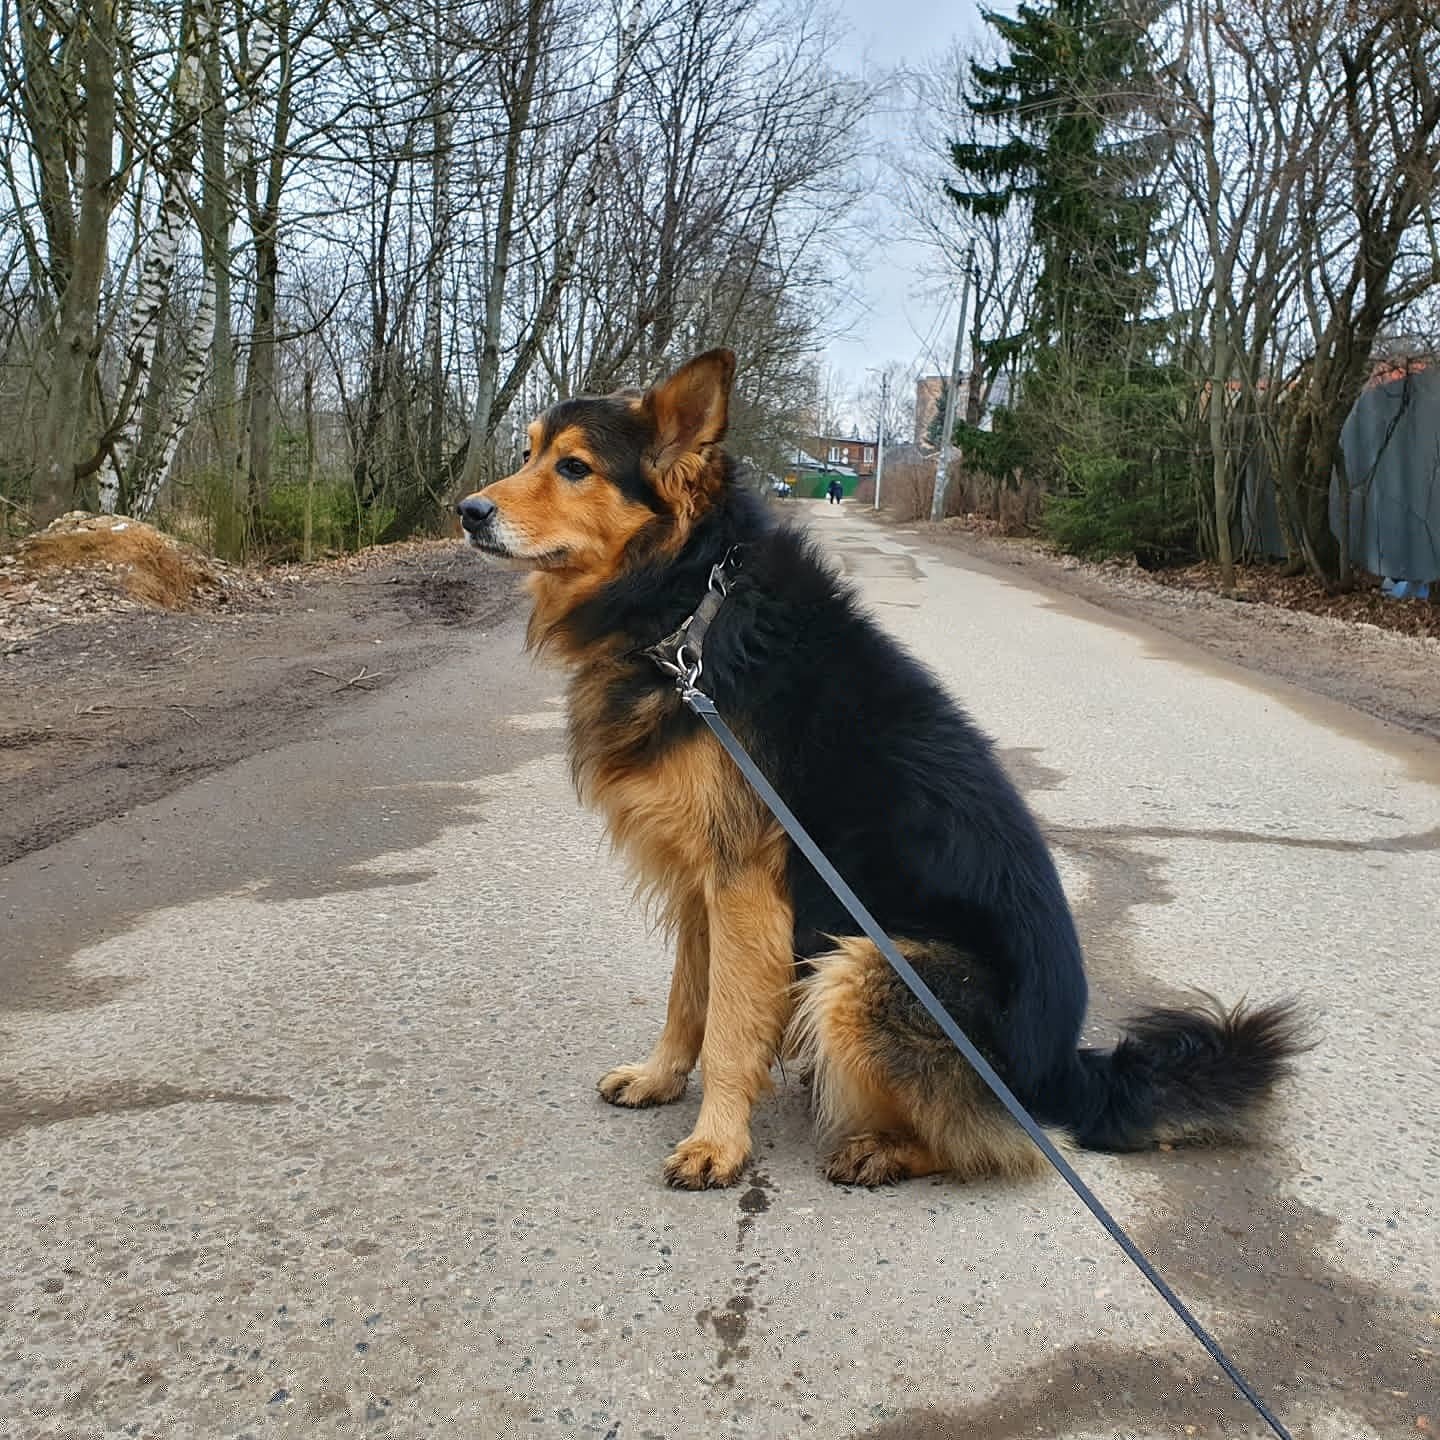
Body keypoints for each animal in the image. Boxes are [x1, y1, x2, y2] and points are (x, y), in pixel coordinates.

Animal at [457, 348, 1307, 1192]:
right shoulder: (704, 882)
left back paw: (884, 1149)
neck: (693, 606)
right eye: (528, 452)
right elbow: (687, 1000)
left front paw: (718, 1142)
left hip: (869, 966)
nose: (467, 511)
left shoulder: (744, 888)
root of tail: (1067, 1073)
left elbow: (729, 1026)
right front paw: (662, 1078)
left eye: (574, 466)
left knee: (1009, 1143)